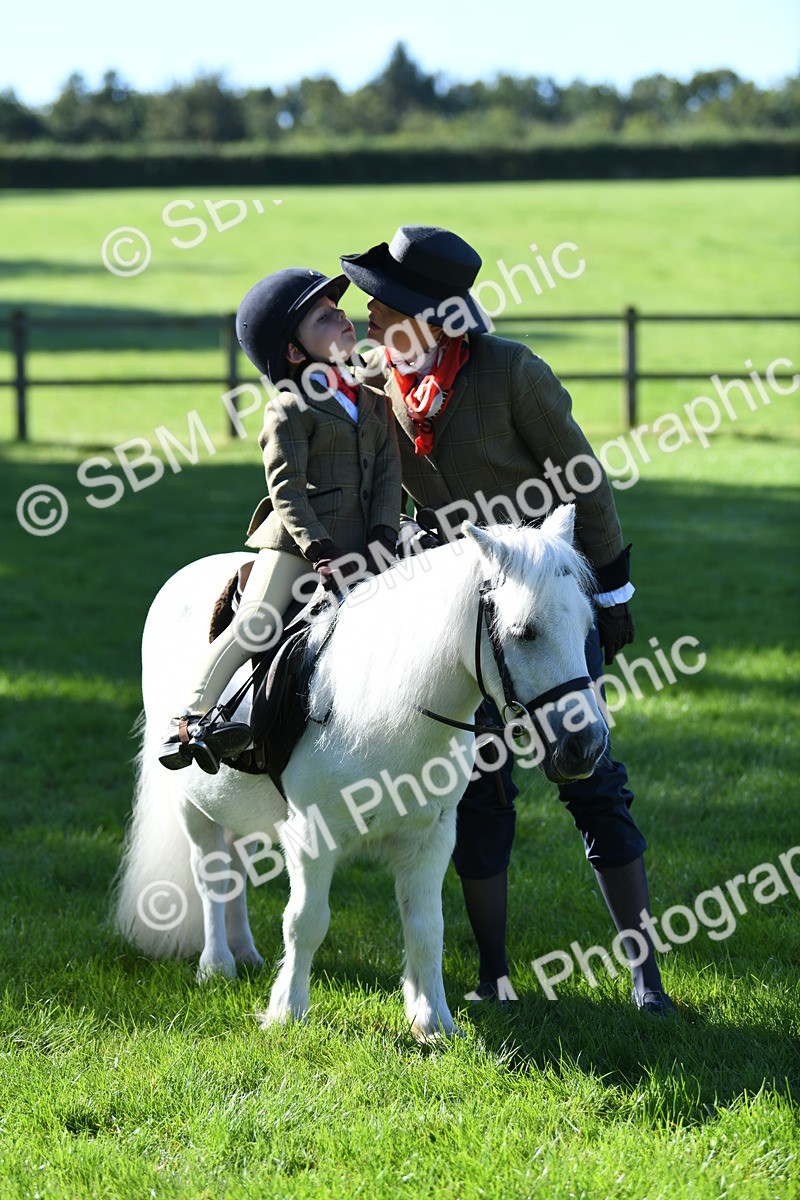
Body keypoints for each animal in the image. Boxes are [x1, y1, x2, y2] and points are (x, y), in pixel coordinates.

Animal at [113, 504, 608, 1041]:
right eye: (525, 632)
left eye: (587, 627)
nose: (586, 747)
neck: (388, 702)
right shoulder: (311, 835)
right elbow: (305, 921)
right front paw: (288, 1012)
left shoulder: (431, 835)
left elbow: (426, 926)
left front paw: (433, 1022)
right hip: (190, 802)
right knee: (212, 876)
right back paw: (217, 965)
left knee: (236, 866)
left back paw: (244, 951)